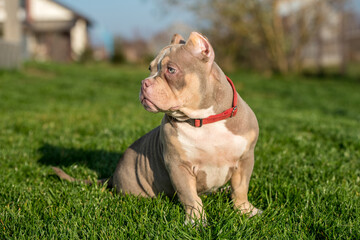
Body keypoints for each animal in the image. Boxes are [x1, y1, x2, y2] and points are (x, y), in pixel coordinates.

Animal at [52, 32, 262, 225]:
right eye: (150, 68)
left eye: (171, 69)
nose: (143, 83)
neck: (204, 120)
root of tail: (112, 176)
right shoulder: (178, 165)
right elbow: (190, 196)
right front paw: (196, 221)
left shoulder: (245, 159)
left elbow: (241, 188)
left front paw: (246, 210)